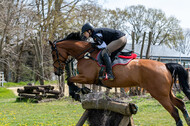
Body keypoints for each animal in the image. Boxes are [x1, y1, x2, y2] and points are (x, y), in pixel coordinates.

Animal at [49, 32, 190, 125]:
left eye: (53, 54)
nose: (57, 72)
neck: (85, 54)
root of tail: (165, 65)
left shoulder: (87, 77)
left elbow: (70, 80)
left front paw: (77, 93)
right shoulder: (87, 78)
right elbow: (71, 80)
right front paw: (82, 91)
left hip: (159, 94)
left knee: (174, 111)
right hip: (167, 92)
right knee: (181, 104)